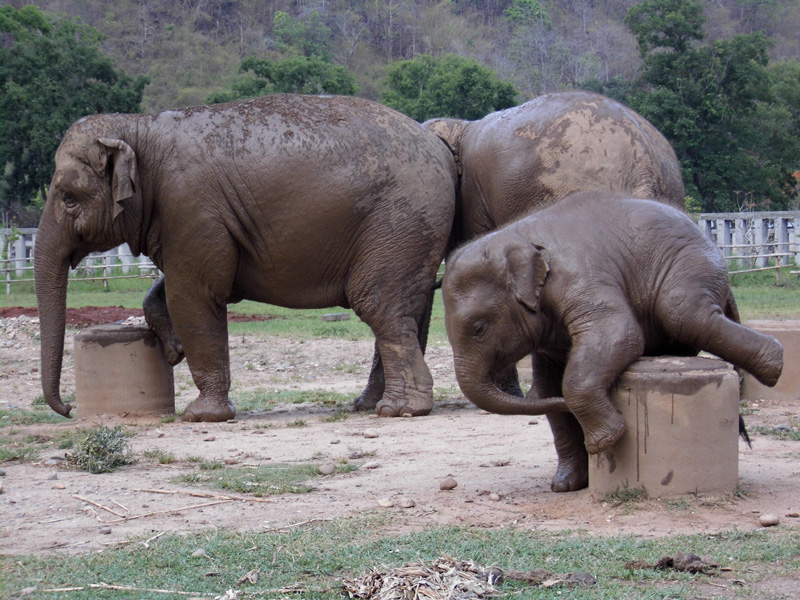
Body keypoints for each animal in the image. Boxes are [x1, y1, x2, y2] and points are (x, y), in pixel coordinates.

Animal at [34, 94, 457, 422]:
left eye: (68, 198)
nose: (68, 409)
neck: (138, 127)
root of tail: (439, 146)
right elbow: (183, 286)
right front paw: (173, 349)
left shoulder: (190, 208)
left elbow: (194, 296)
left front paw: (201, 415)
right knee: (407, 311)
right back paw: (369, 405)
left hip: (400, 220)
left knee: (378, 304)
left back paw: (400, 410)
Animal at [441, 191, 783, 492]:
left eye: (479, 328)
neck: (516, 236)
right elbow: (548, 387)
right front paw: (563, 486)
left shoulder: (579, 276)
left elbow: (620, 332)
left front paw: (604, 440)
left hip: (690, 265)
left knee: (683, 313)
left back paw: (775, 365)